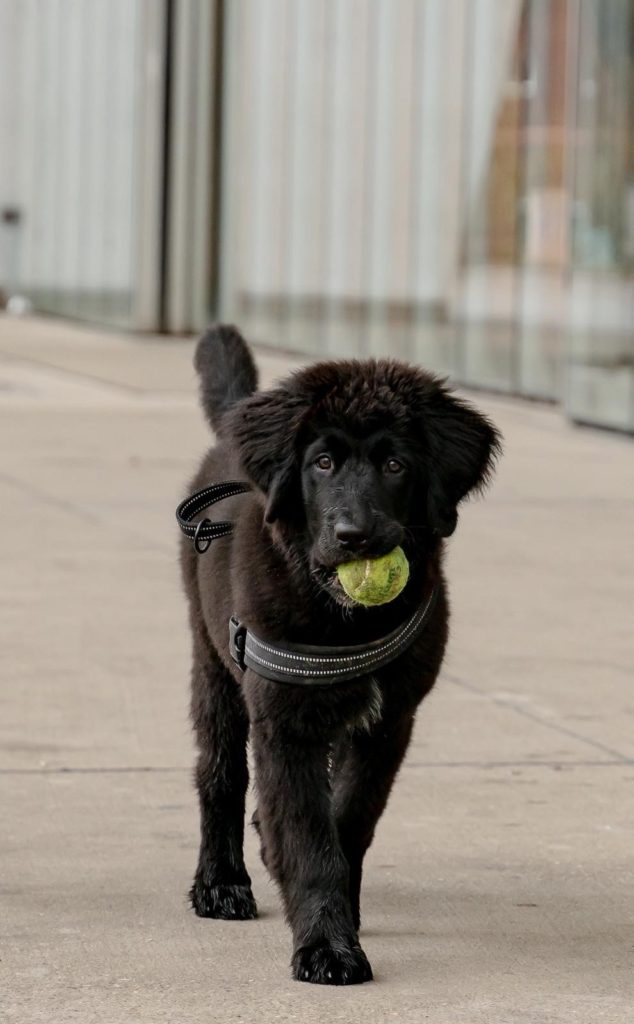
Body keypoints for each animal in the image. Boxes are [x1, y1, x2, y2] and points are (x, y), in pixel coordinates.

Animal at [178, 325, 501, 983]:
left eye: (396, 464)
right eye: (322, 462)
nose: (355, 536)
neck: (341, 622)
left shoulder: (389, 722)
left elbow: (347, 821)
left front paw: (338, 918)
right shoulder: (285, 720)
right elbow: (309, 835)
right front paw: (326, 946)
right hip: (214, 661)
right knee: (220, 773)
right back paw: (221, 882)